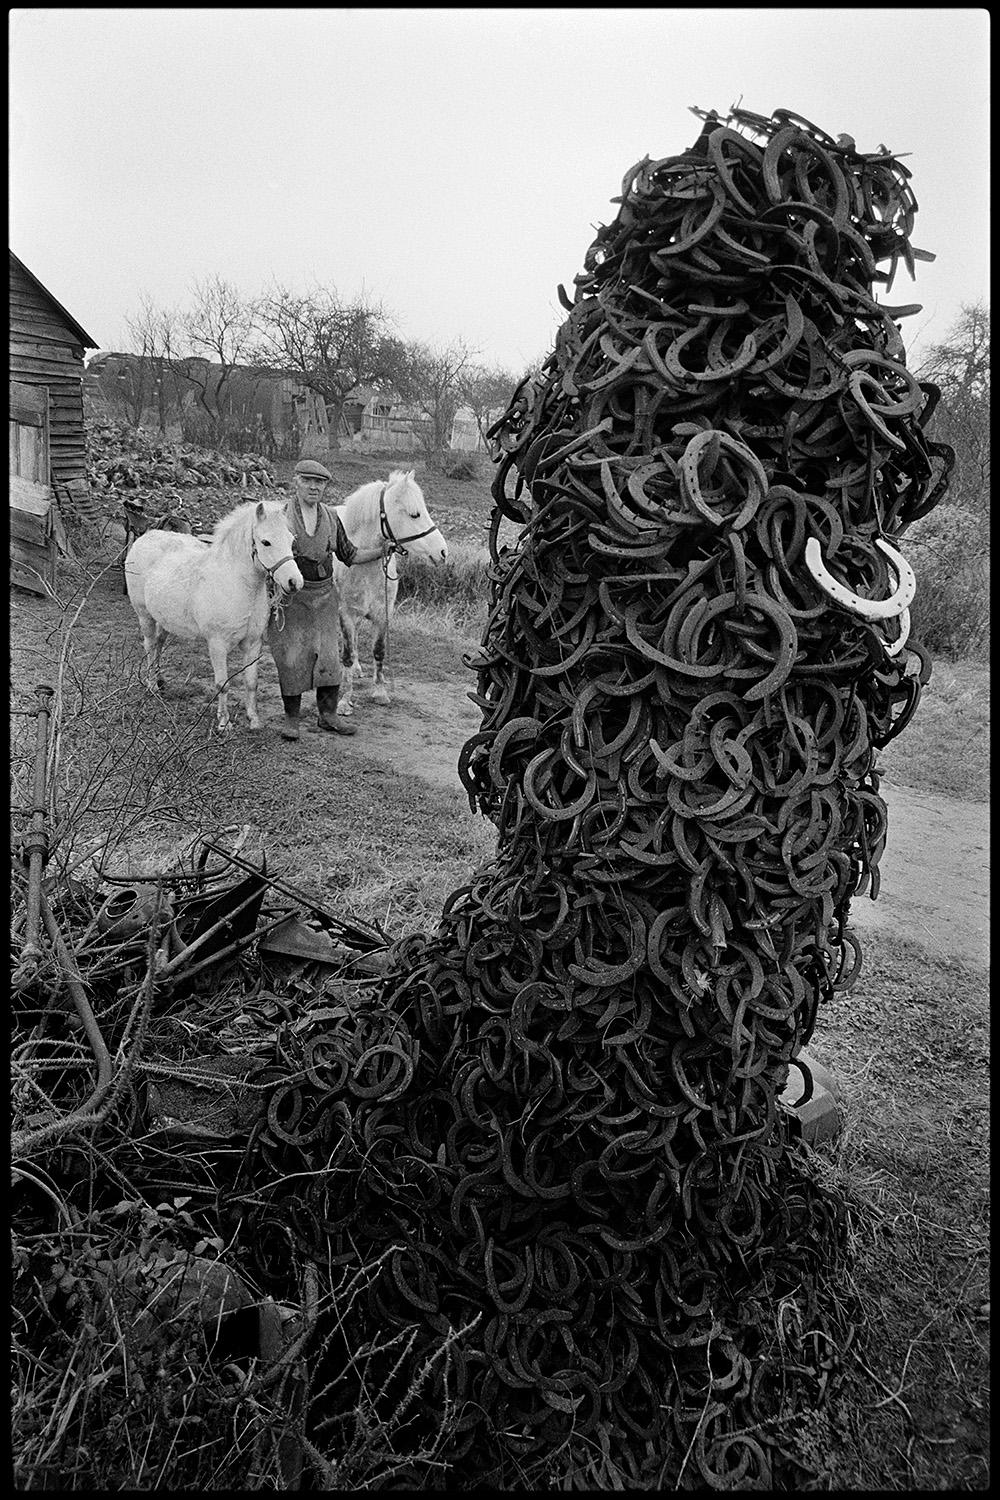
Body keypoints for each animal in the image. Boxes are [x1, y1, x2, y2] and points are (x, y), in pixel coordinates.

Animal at [122, 498, 301, 732]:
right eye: (266, 542)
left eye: (291, 540)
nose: (294, 582)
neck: (237, 583)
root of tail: (145, 537)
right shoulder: (217, 644)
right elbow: (222, 684)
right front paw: (223, 723)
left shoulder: (253, 644)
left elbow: (251, 683)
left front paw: (253, 719)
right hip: (145, 616)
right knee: (151, 646)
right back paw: (152, 685)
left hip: (164, 619)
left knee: (159, 645)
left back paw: (160, 681)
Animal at [334, 468, 446, 714]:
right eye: (414, 514)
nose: (443, 552)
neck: (363, 566)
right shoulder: (345, 613)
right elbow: (346, 654)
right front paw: (344, 699)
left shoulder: (382, 615)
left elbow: (378, 651)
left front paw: (380, 692)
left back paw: (357, 669)